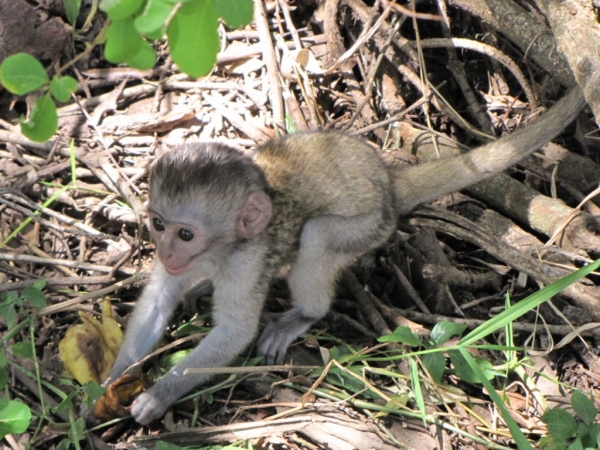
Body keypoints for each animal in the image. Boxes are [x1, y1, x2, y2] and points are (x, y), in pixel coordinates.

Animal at [105, 86, 584, 424]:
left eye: (186, 233)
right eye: (159, 224)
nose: (167, 250)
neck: (222, 249)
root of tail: (389, 184)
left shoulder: (246, 260)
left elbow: (236, 332)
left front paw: (158, 394)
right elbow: (157, 303)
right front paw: (112, 379)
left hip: (369, 227)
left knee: (316, 235)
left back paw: (304, 314)